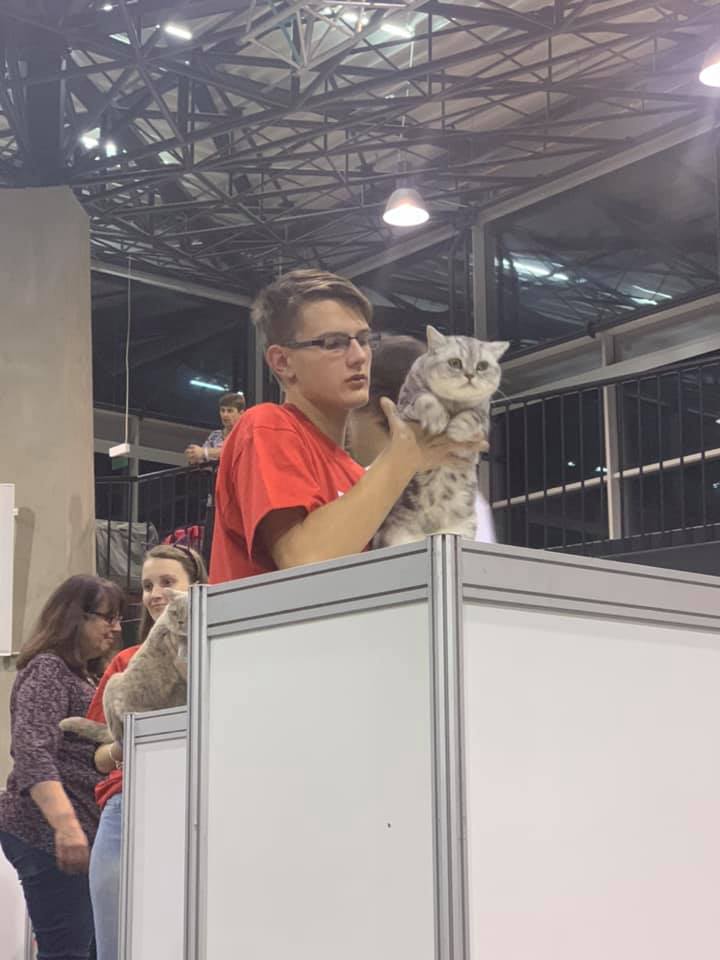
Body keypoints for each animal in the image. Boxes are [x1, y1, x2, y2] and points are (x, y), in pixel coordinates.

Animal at [373, 325, 509, 549]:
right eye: (455, 363)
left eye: (482, 366)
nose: (470, 375)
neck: (452, 402)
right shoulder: (406, 405)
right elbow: (425, 398)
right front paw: (438, 418)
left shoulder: (482, 419)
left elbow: (471, 416)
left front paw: (456, 427)